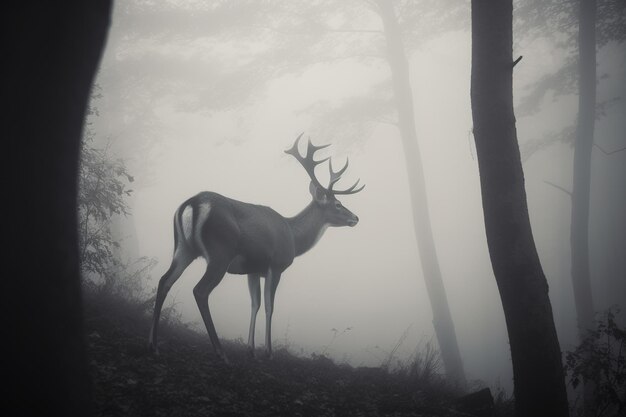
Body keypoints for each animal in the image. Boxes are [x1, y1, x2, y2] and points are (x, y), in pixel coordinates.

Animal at [148, 133, 364, 360]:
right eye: (338, 204)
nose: (356, 218)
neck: (293, 237)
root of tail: (192, 203)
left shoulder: (252, 270)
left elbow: (255, 304)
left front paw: (250, 349)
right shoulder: (276, 266)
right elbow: (269, 306)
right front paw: (268, 352)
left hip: (183, 248)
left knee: (164, 281)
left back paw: (153, 345)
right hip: (219, 253)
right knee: (200, 290)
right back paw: (220, 352)